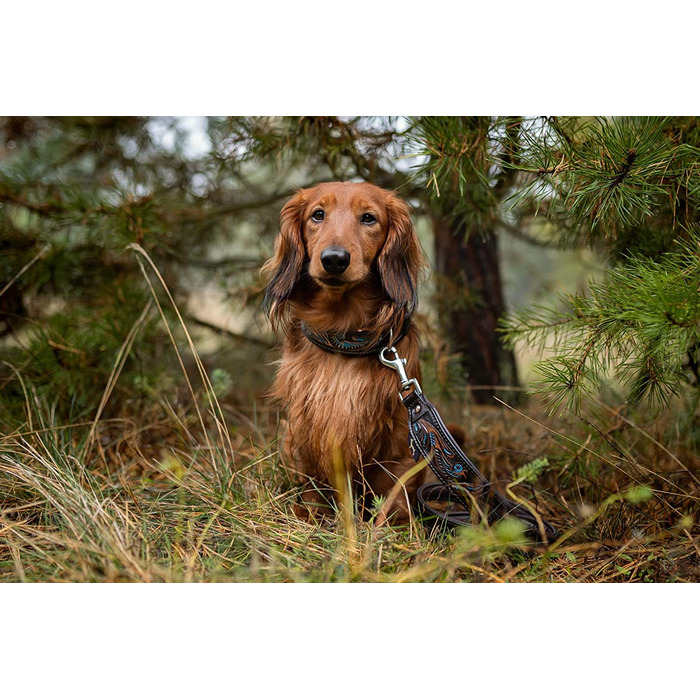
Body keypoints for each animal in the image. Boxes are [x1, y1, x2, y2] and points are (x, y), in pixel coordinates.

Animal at [264, 183, 424, 524]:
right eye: (317, 214)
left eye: (368, 218)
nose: (334, 259)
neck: (342, 336)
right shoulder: (305, 431)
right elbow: (315, 487)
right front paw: (311, 518)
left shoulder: (401, 446)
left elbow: (394, 496)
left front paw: (391, 529)